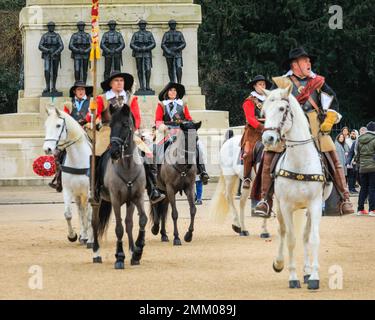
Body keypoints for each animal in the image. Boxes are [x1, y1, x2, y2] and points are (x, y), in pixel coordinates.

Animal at [43, 107, 93, 248]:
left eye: (58, 125)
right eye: (45, 126)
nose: (47, 149)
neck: (78, 160)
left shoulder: (90, 192)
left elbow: (89, 215)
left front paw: (91, 240)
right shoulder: (68, 190)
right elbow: (68, 214)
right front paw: (73, 236)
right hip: (78, 194)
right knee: (81, 211)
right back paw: (83, 236)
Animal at [92, 104, 148, 268]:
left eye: (124, 124)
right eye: (110, 125)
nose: (114, 152)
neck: (128, 166)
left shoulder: (137, 198)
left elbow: (142, 220)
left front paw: (137, 250)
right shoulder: (116, 200)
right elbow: (118, 228)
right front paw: (120, 257)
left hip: (129, 203)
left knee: (129, 223)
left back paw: (132, 251)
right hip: (96, 200)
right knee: (94, 223)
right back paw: (96, 253)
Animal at [262, 87, 334, 290]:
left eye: (281, 108)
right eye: (264, 111)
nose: (268, 138)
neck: (300, 163)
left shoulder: (315, 204)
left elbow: (313, 238)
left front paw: (313, 276)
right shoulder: (286, 206)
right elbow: (291, 240)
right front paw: (292, 277)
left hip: (306, 209)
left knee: (305, 236)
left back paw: (307, 272)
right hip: (279, 206)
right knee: (282, 232)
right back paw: (279, 263)